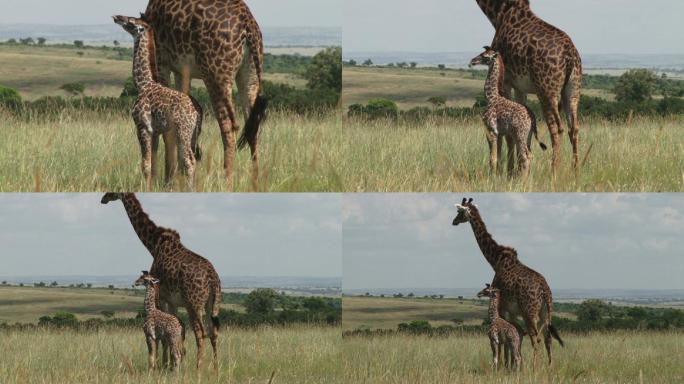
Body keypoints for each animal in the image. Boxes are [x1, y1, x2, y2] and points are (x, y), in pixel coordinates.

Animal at [112, 16, 202, 190]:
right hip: (194, 133)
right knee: (192, 160)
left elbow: (145, 164)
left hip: (183, 131)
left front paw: (145, 189)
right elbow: (154, 164)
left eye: (131, 22)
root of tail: (197, 111)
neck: (143, 83)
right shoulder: (155, 131)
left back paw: (190, 189)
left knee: (188, 161)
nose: (116, 17)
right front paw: (151, 187)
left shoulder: (142, 126)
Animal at [144, 0, 268, 190]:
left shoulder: (161, 61)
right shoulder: (181, 70)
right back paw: (255, 183)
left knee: (228, 126)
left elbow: (168, 129)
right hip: (250, 76)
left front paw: (168, 181)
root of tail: (248, 25)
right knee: (253, 127)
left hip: (216, 76)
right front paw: (180, 179)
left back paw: (227, 183)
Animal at [476, 0, 584, 171]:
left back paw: (554, 170)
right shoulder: (520, 87)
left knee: (556, 127)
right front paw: (515, 168)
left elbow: (508, 134)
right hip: (573, 91)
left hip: (547, 92)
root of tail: (570, 56)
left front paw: (507, 169)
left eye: (484, 55)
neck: (499, 14)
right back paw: (576, 170)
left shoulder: (506, 81)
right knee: (573, 128)